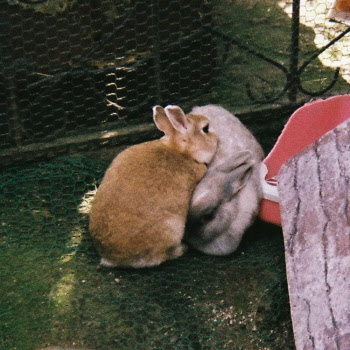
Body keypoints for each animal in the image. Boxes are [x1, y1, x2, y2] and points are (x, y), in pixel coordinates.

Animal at [89, 104, 217, 268]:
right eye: (205, 129)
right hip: (171, 228)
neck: (180, 151)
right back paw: (182, 249)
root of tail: (112, 258)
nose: (217, 137)